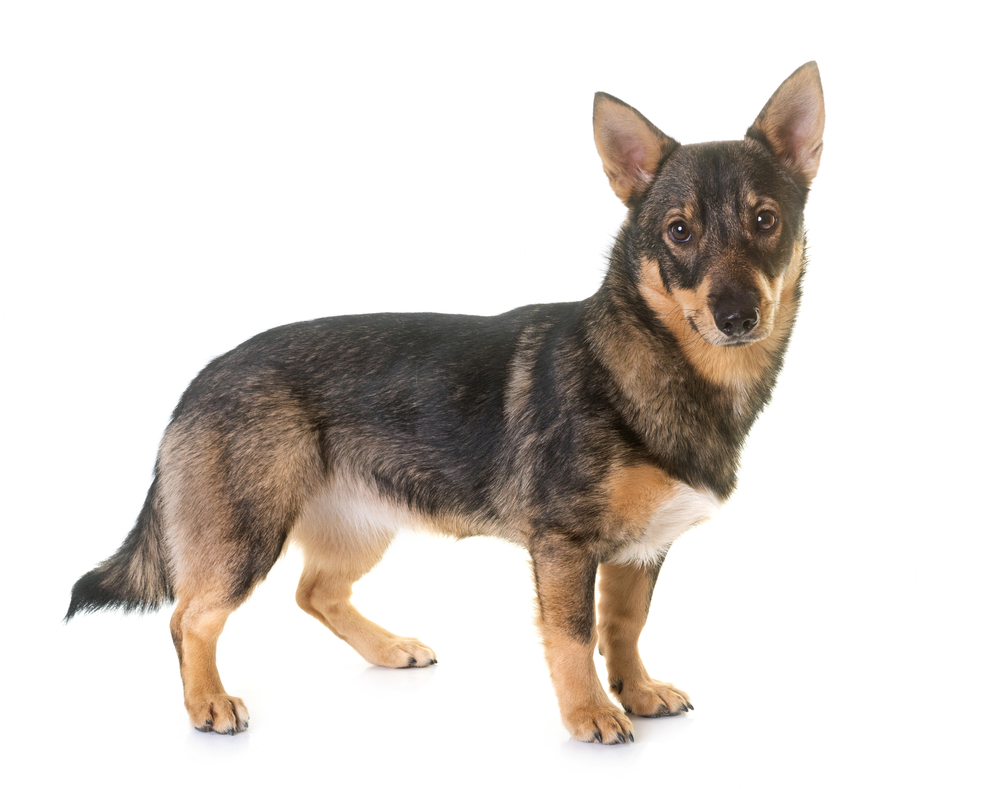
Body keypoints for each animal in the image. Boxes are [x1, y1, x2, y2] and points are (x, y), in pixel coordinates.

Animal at [68, 63, 820, 744]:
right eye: (679, 232)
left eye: (765, 221)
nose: (737, 316)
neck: (655, 359)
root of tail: (201, 377)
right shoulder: (564, 546)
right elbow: (574, 635)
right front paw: (589, 712)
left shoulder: (640, 551)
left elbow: (624, 627)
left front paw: (635, 691)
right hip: (246, 537)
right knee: (190, 616)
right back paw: (208, 701)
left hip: (360, 526)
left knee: (315, 592)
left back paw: (386, 648)